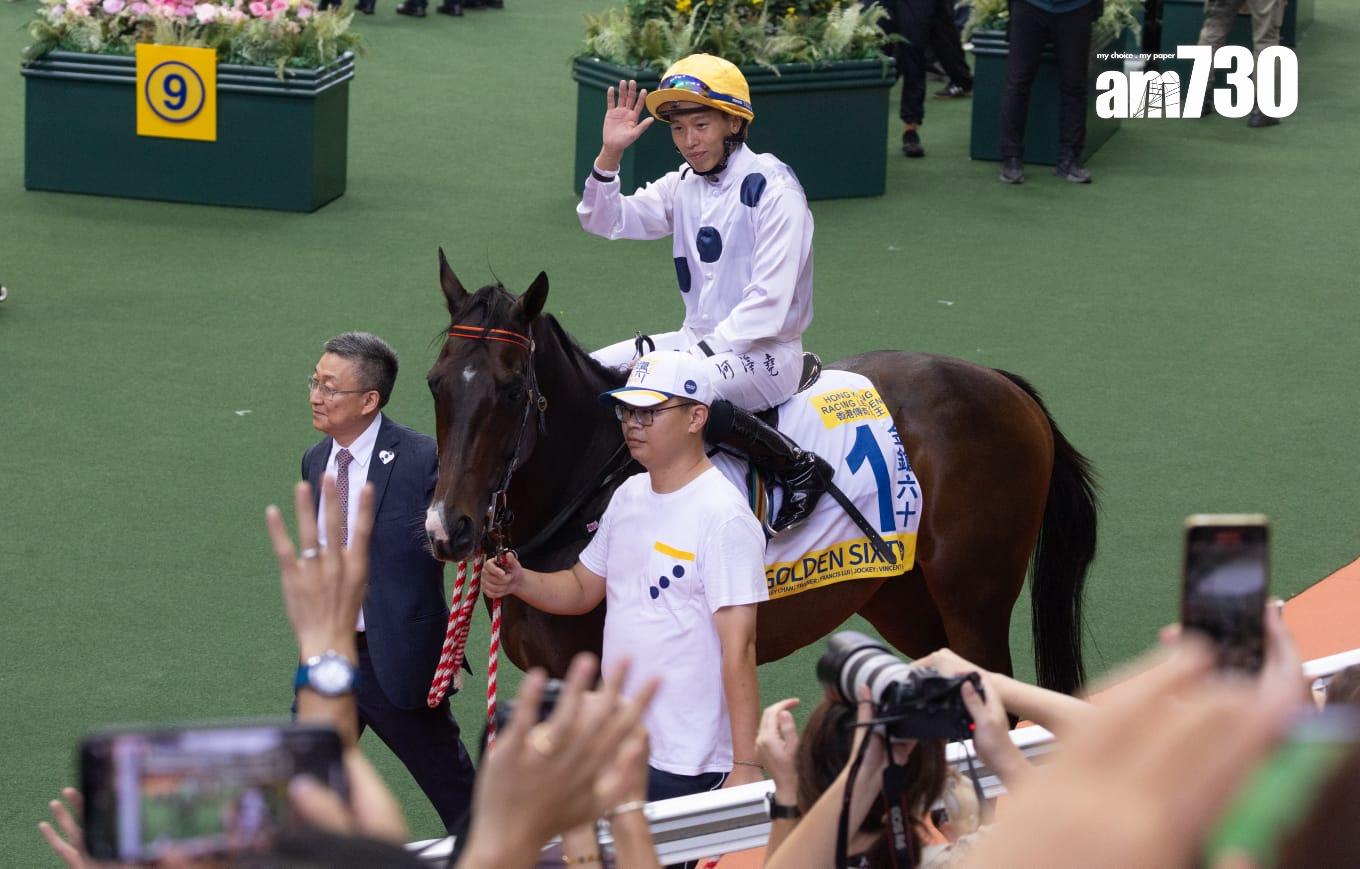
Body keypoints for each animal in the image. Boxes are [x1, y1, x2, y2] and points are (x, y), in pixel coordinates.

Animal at [423, 253, 1098, 694]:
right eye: (434, 384)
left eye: (513, 392)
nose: (447, 528)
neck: (587, 493)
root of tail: (1004, 384)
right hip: (902, 595)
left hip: (975, 598)